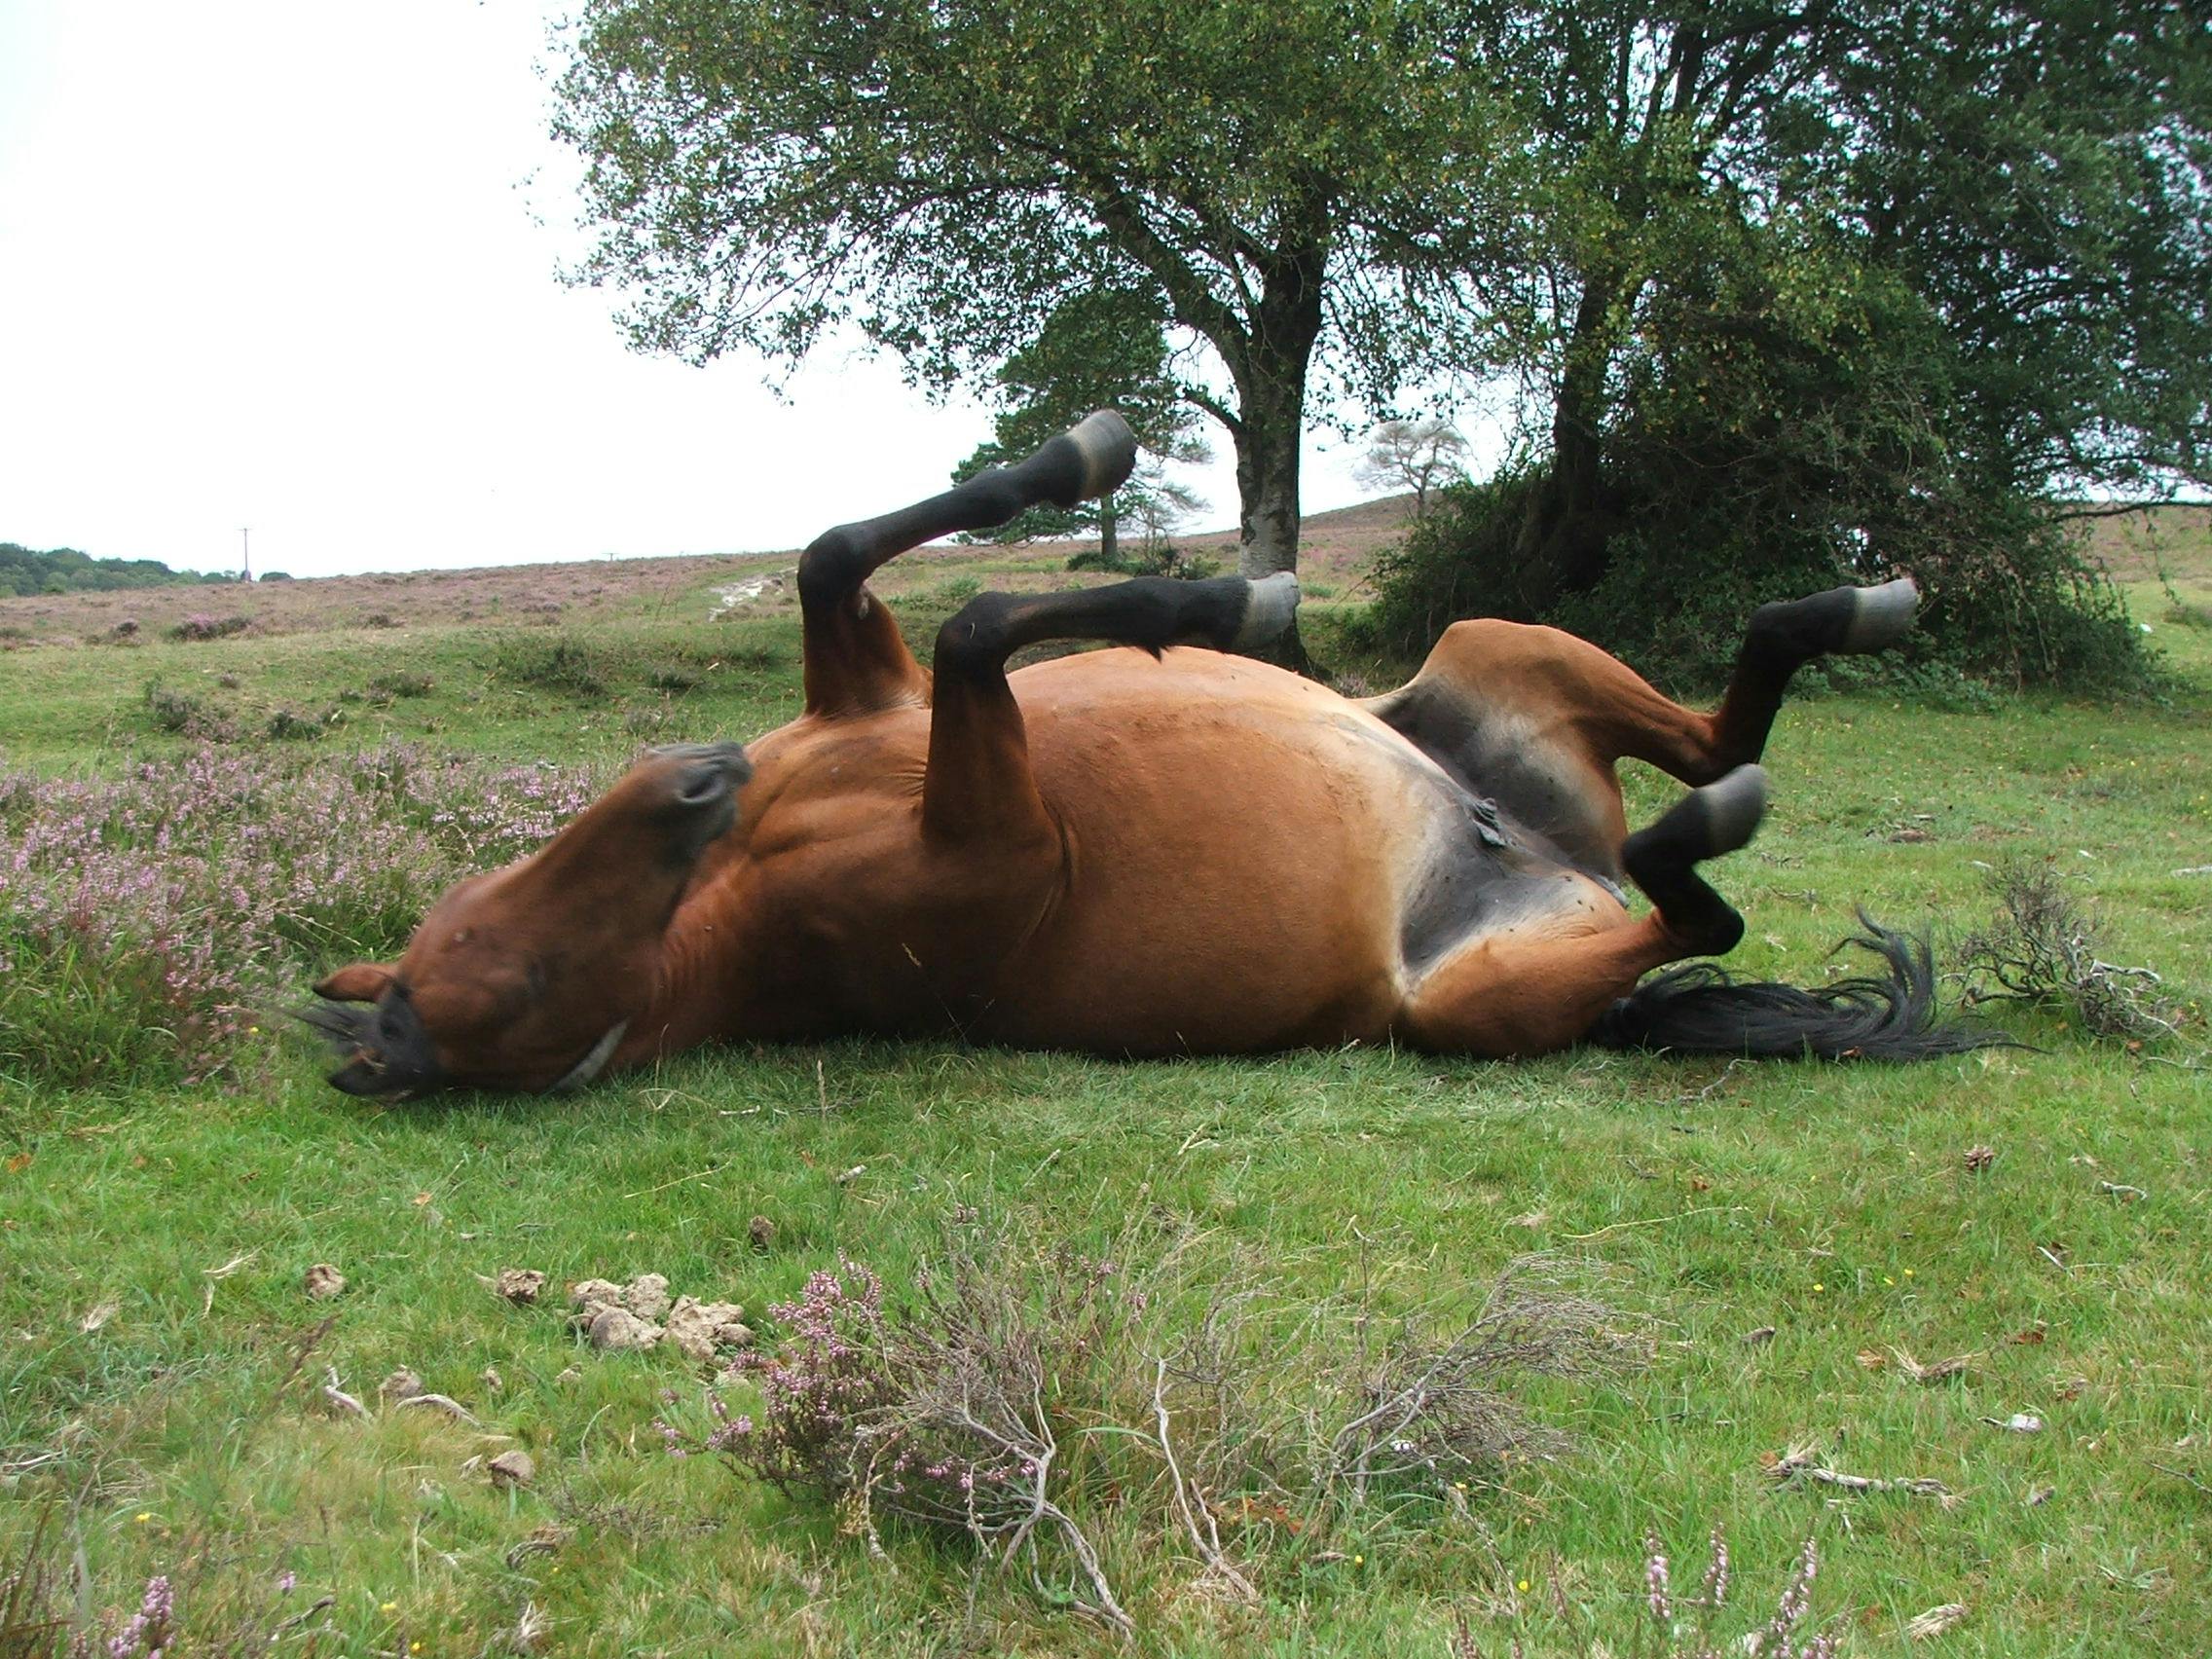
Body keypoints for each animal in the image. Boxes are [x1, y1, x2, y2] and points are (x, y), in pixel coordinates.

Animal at [304, 411, 1981, 1097]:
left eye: (480, 935)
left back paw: (1861, 603)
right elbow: (982, 619)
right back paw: (1703, 824)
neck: (746, 894)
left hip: (1497, 650)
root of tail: (1543, 860)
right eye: (511, 979)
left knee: (1719, 726)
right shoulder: (1008, 841)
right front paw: (1226, 595)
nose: (704, 780)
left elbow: (850, 554)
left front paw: (1100, 463)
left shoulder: (874, 689)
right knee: (1692, 887)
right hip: (1478, 1005)